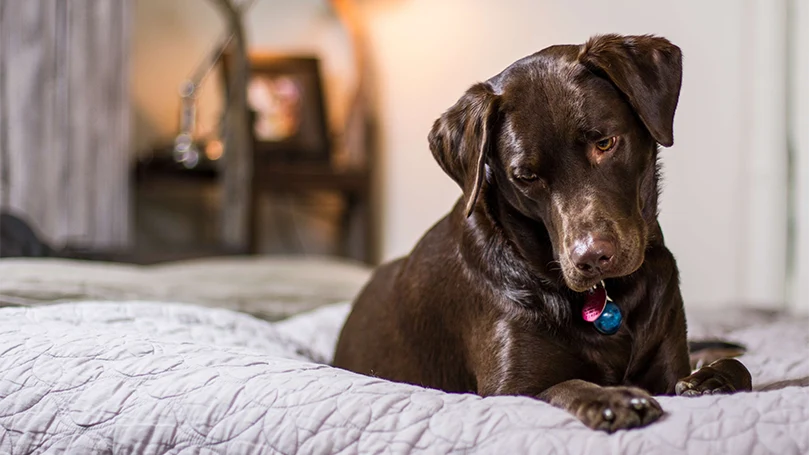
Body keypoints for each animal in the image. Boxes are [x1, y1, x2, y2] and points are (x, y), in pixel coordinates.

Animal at [330, 33, 752, 432]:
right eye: (526, 176)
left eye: (605, 143)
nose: (591, 258)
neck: (609, 297)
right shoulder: (508, 389)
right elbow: (565, 385)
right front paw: (612, 399)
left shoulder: (668, 368)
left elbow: (737, 370)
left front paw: (710, 379)